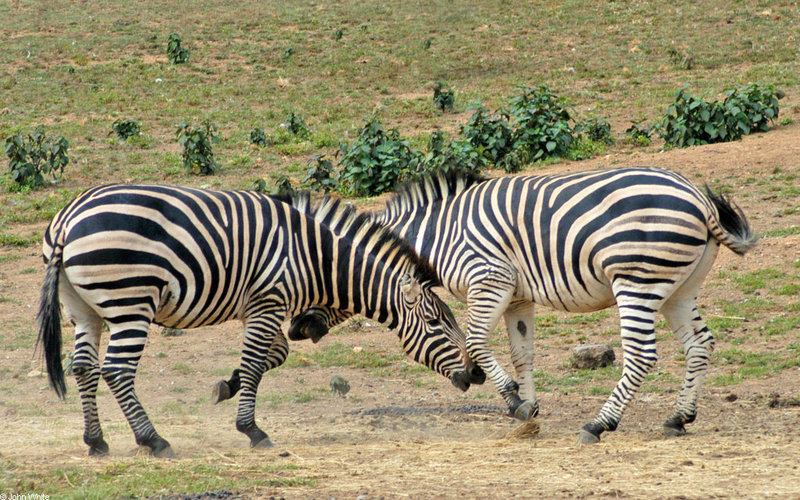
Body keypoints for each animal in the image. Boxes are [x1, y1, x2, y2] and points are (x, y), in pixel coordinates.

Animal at [37, 184, 484, 458]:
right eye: (437, 324)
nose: (476, 374)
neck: (314, 256)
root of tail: (68, 217)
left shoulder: (259, 308)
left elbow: (274, 356)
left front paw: (226, 386)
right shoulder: (269, 301)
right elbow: (257, 363)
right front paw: (252, 430)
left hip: (84, 308)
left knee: (83, 368)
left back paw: (96, 441)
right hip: (131, 300)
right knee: (116, 370)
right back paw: (154, 440)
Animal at [292, 167, 756, 442]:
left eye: (317, 274)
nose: (296, 329)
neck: (438, 236)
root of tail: (699, 198)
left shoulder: (489, 280)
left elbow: (476, 341)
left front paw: (514, 402)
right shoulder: (518, 296)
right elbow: (522, 354)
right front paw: (529, 411)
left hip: (637, 279)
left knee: (642, 355)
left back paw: (600, 424)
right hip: (679, 286)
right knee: (700, 344)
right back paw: (679, 417)